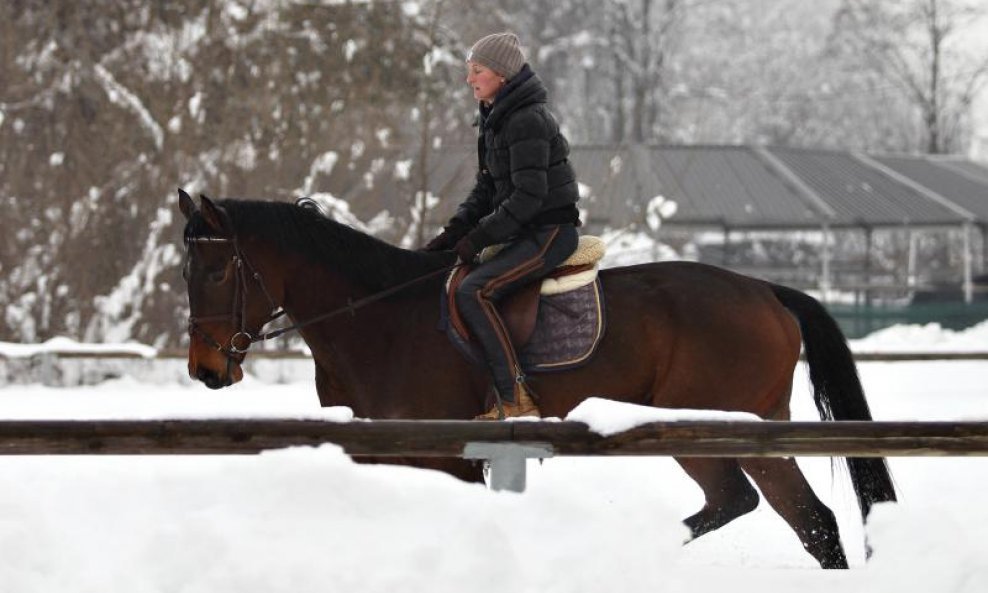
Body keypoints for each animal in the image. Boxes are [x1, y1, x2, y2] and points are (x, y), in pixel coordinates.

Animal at [176, 191, 896, 568]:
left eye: (214, 271)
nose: (206, 369)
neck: (377, 316)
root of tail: (767, 292)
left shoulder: (445, 454)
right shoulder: (374, 446)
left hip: (708, 427)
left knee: (757, 505)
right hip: (754, 429)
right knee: (804, 519)